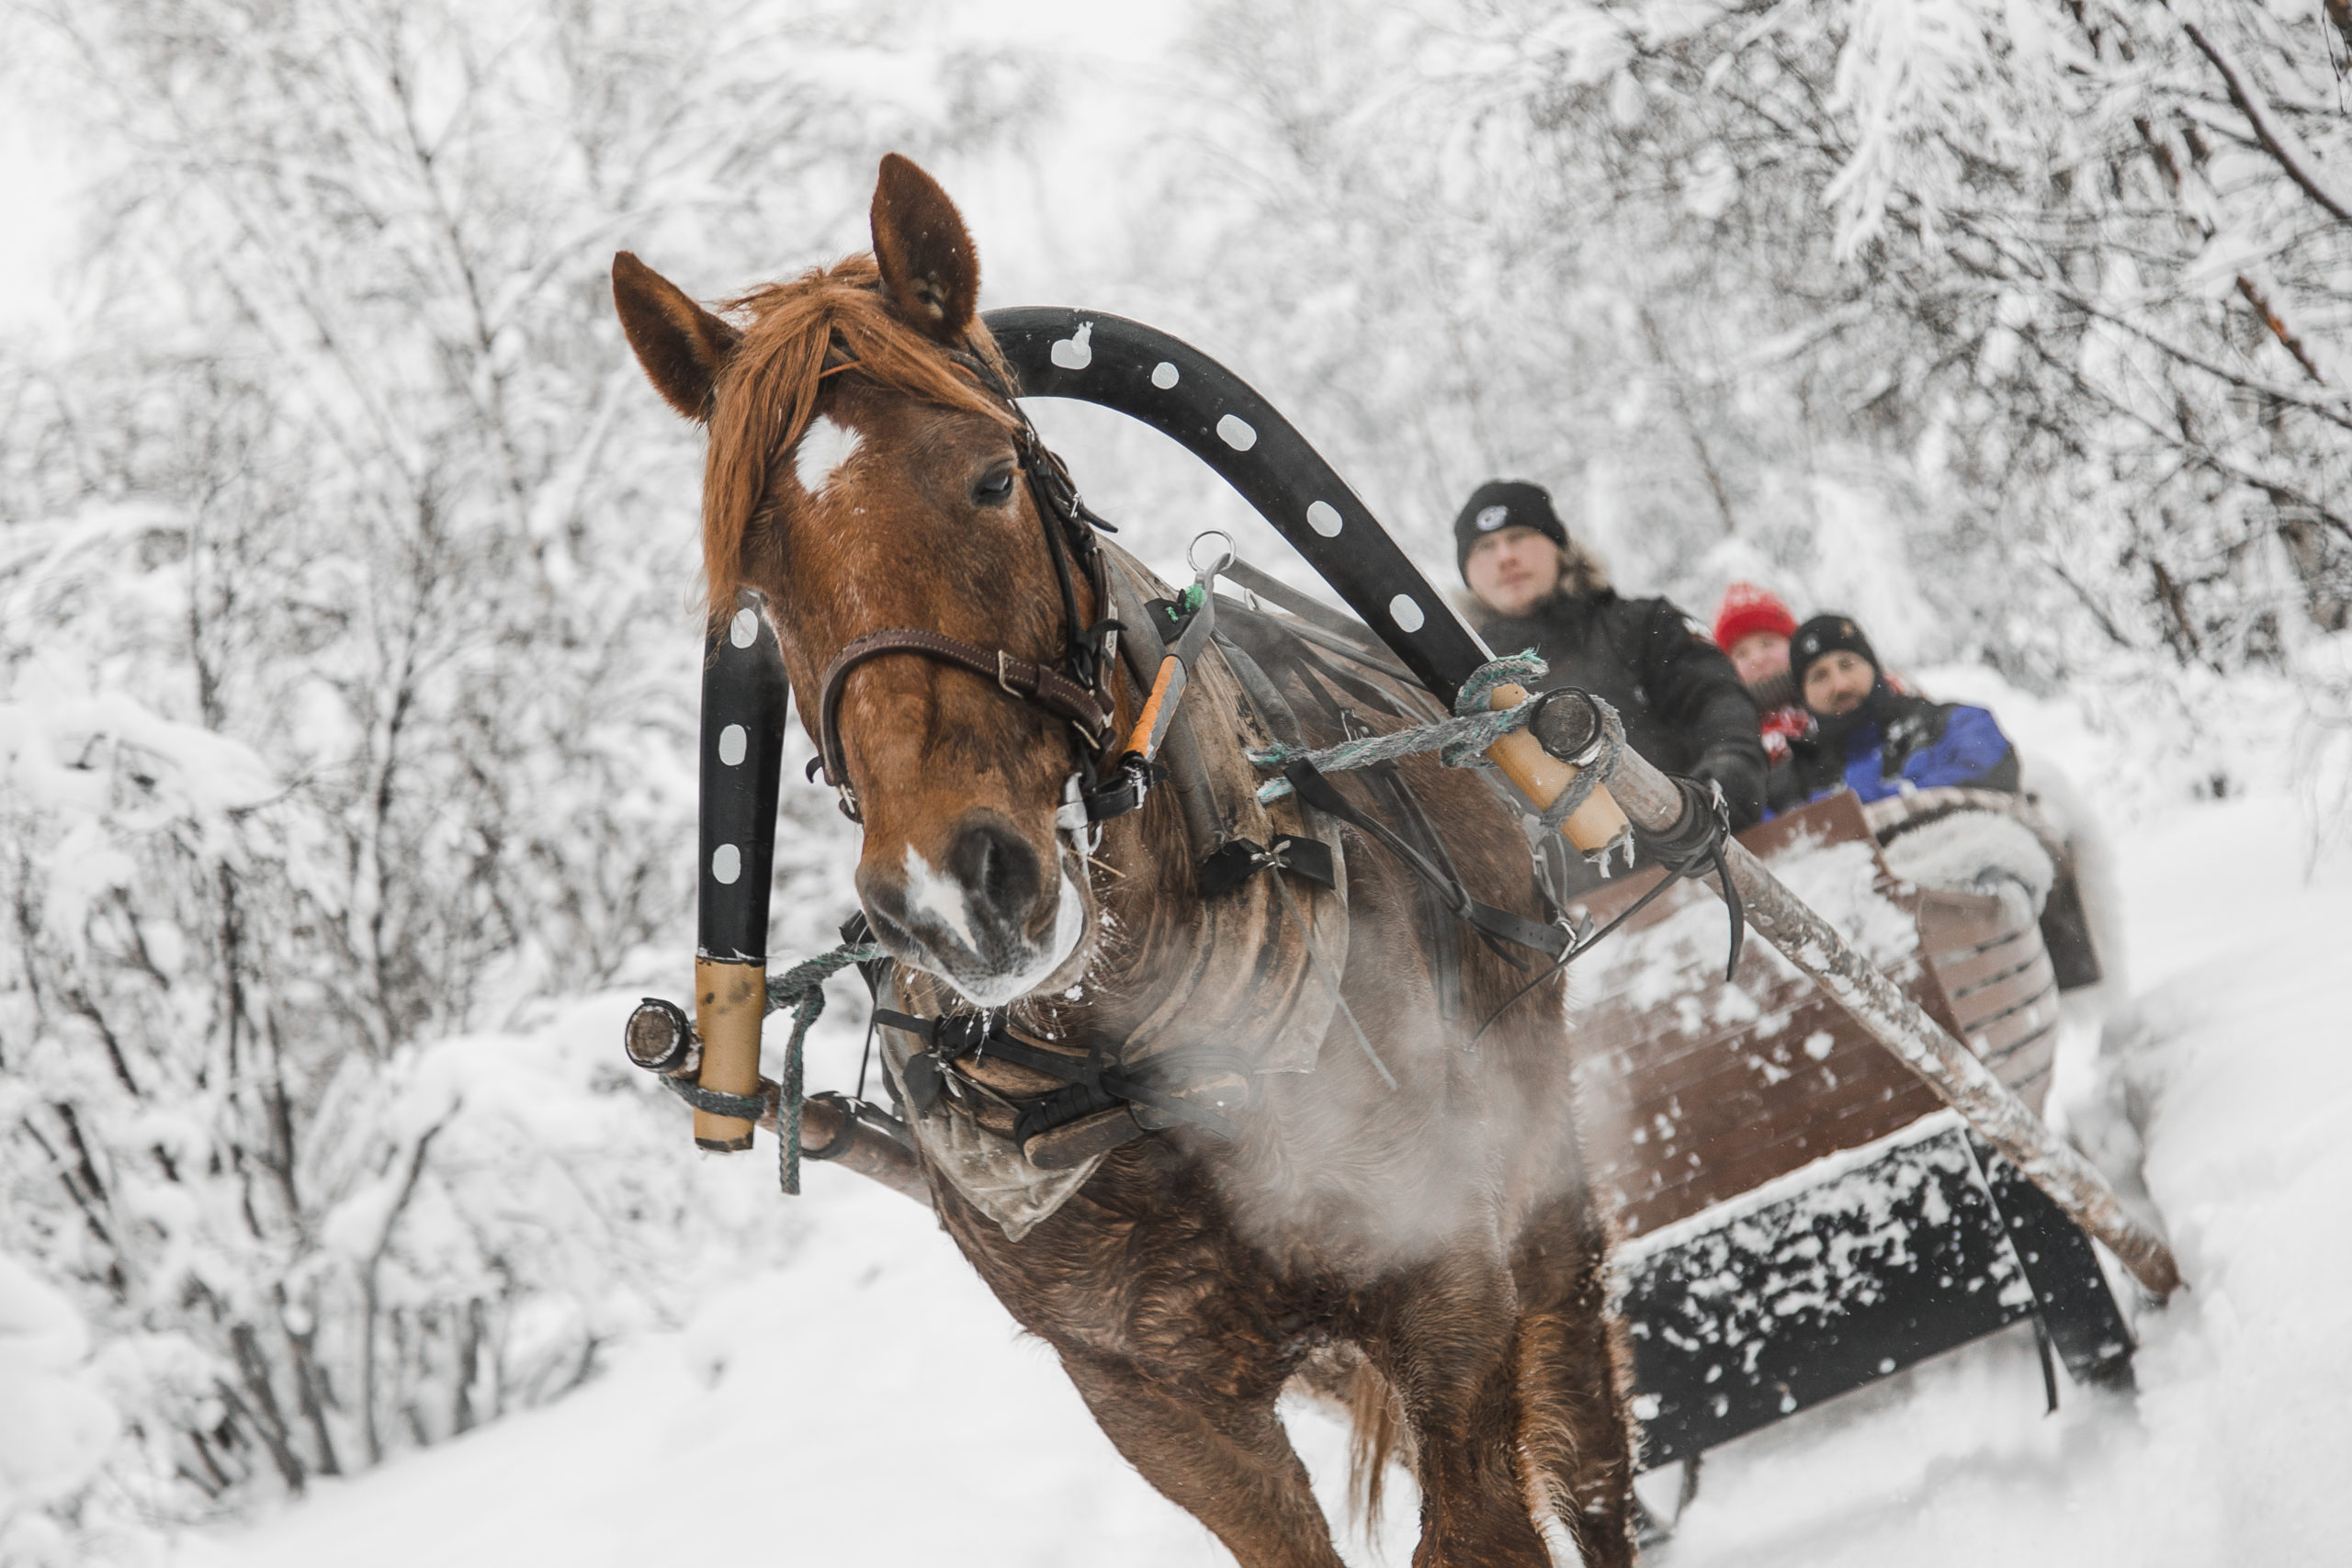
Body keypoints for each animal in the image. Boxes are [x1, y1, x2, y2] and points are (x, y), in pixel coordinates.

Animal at [606, 152, 1636, 1561]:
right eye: (756, 580)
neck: (1142, 1062)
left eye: (992, 478)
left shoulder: (1443, 1284)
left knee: (1583, 1439)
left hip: (1532, 1166)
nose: (949, 893)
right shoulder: (1156, 1405)